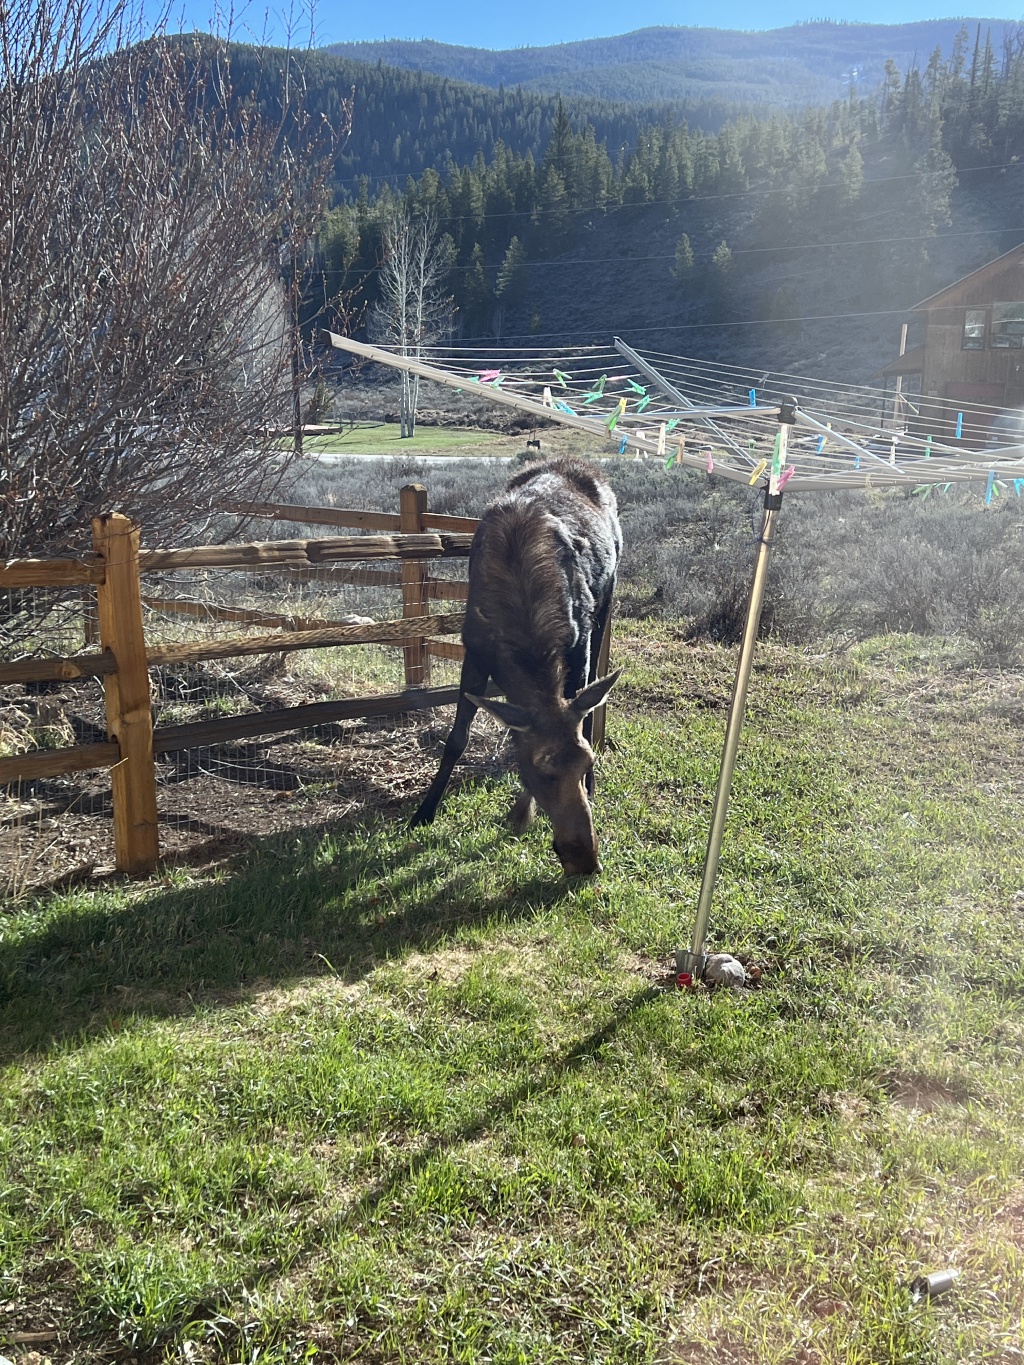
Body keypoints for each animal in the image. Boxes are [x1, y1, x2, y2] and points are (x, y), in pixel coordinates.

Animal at [411, 457, 622, 876]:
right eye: (543, 771)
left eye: (585, 761)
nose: (586, 859)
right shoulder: (474, 651)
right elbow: (457, 738)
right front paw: (424, 810)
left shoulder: (578, 643)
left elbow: (578, 712)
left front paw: (522, 812)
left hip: (607, 599)